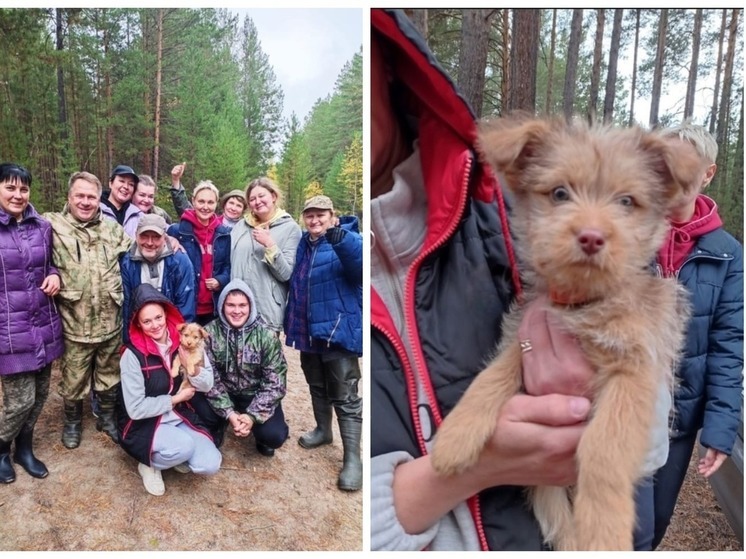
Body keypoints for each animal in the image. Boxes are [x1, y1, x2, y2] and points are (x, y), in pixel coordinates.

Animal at [428, 115, 700, 552]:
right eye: (559, 193)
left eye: (627, 202)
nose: (591, 236)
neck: (583, 304)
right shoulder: (524, 330)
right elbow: (493, 374)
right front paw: (455, 437)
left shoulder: (636, 369)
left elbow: (602, 450)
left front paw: (605, 531)